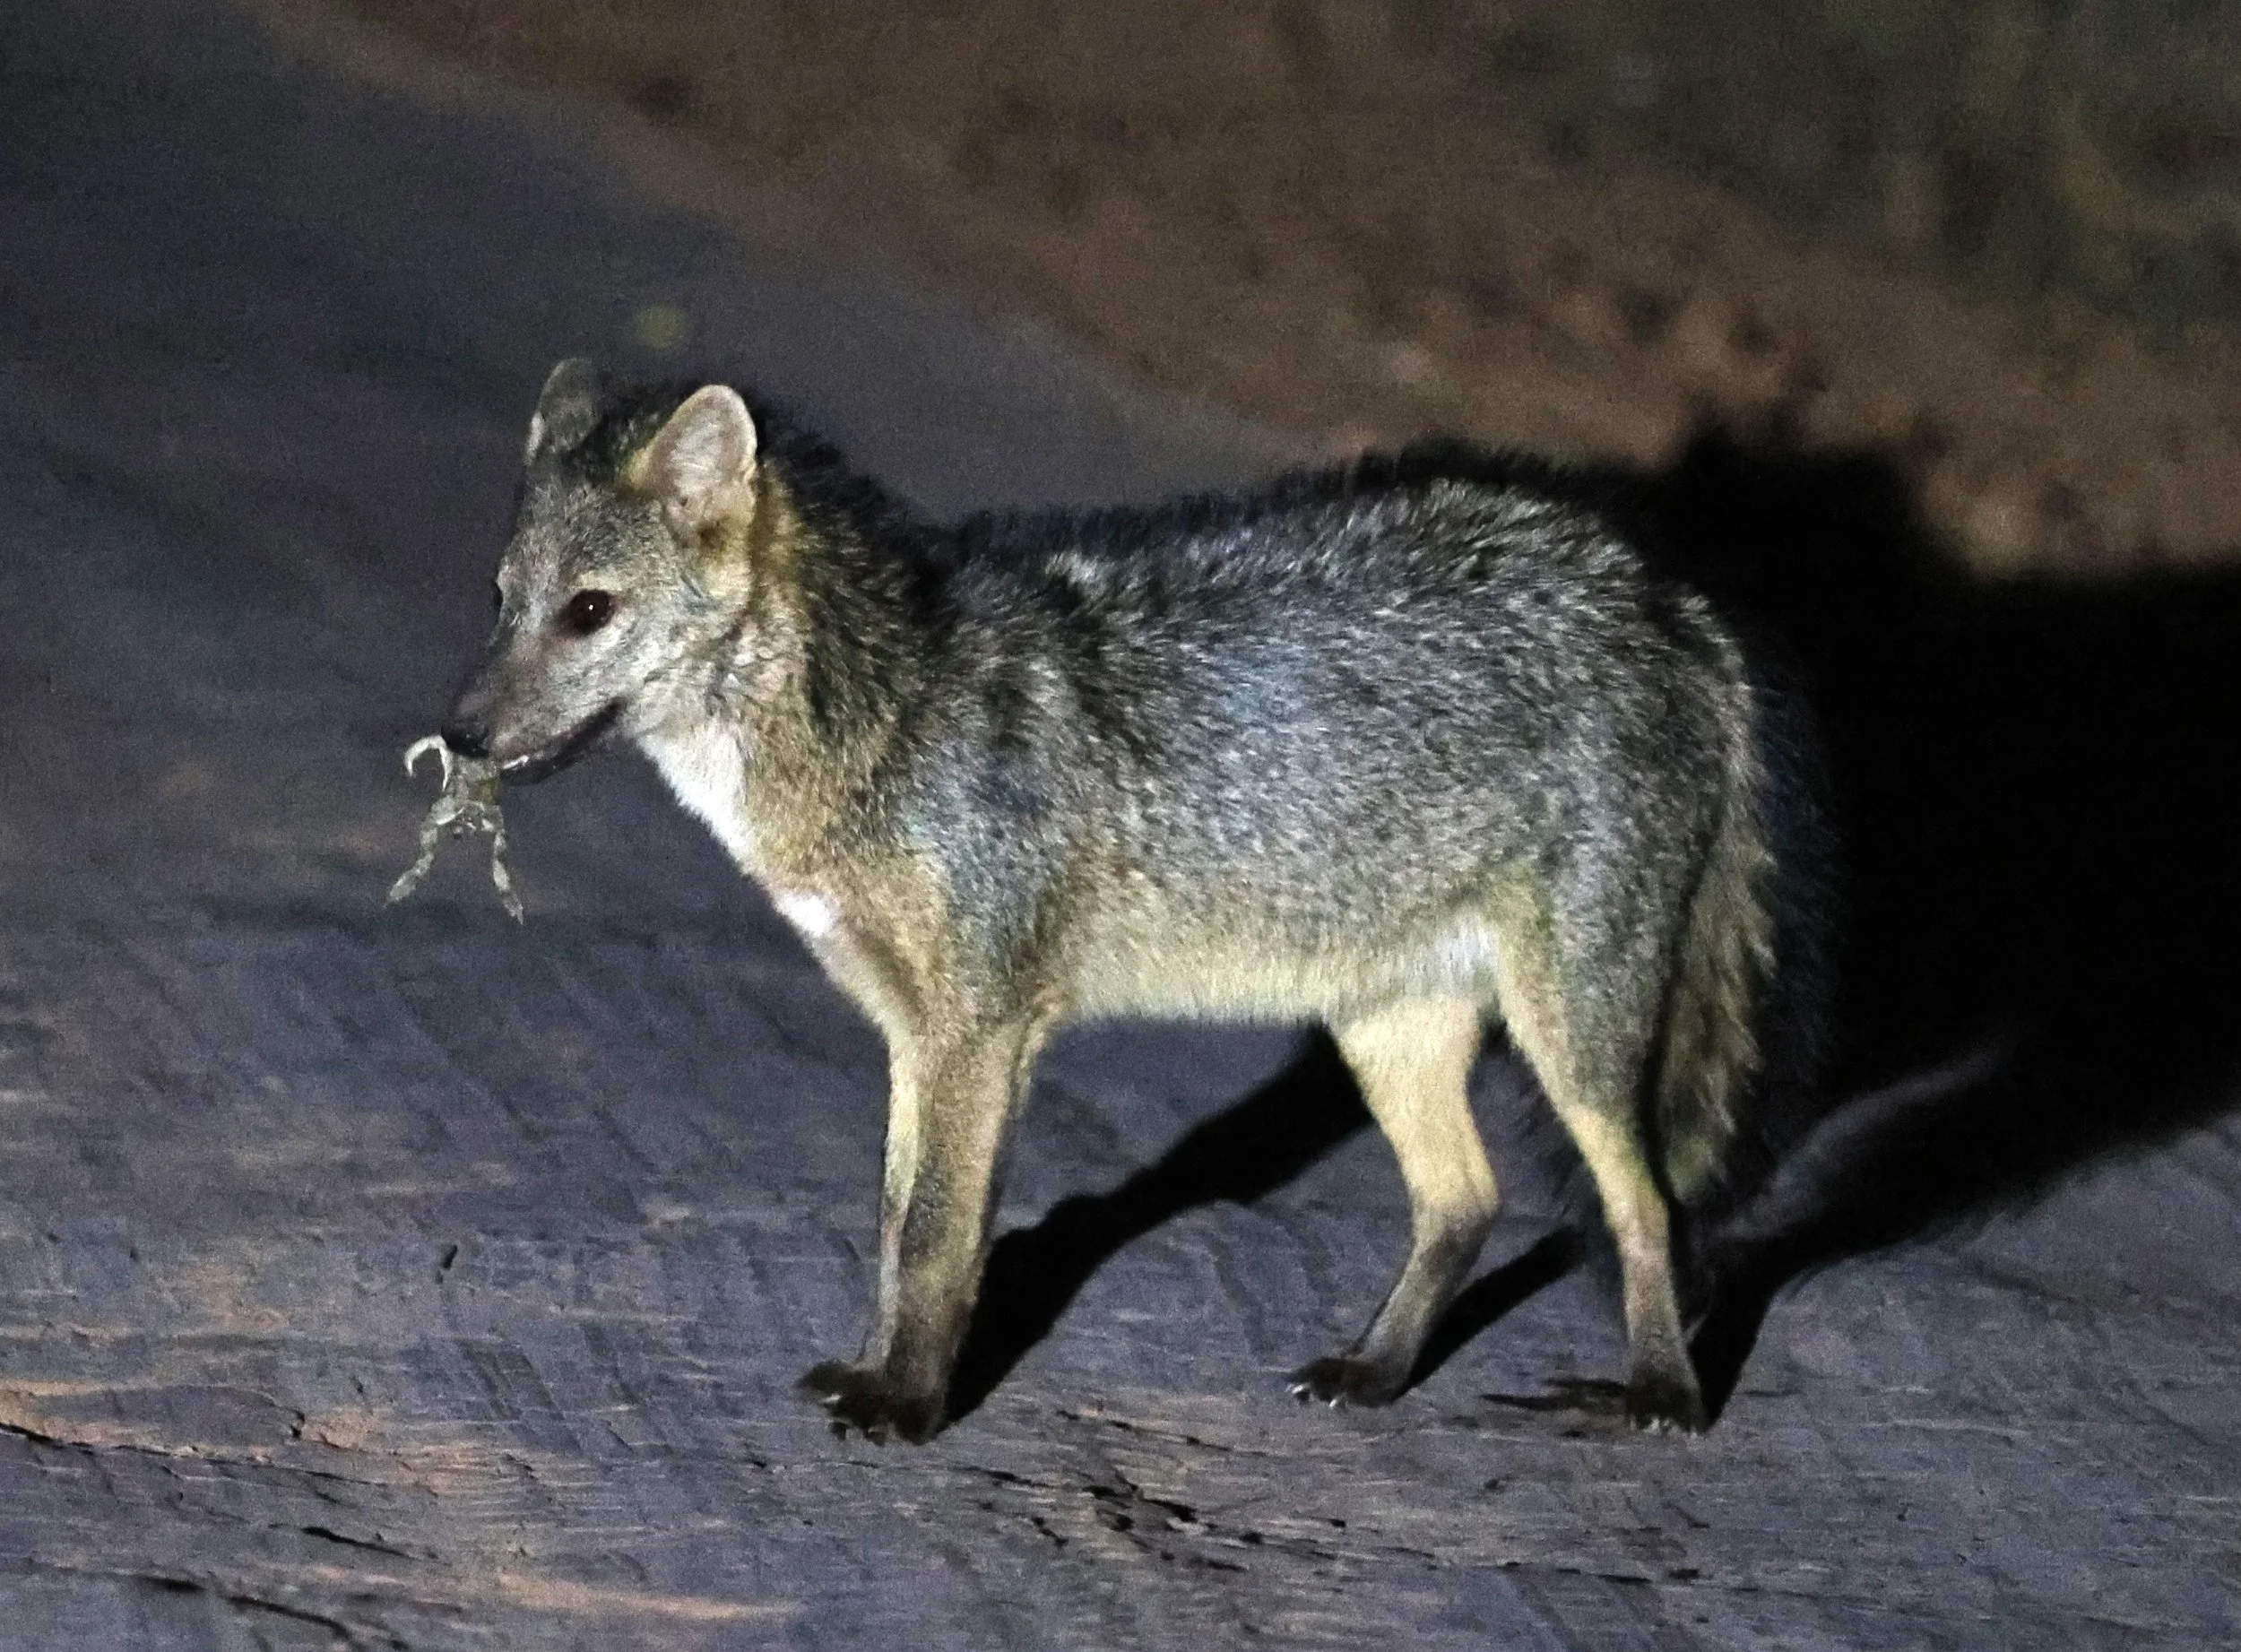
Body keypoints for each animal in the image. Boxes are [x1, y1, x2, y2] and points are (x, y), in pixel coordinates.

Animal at [434, 358, 1830, 1443]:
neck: (883, 718)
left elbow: (936, 1237)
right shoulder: (914, 1035)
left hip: (1571, 1037)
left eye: (589, 612)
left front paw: (907, 1408)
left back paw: (1662, 1396)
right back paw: (1375, 1373)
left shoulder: (982, 1032)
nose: (458, 736)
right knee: (1466, 1201)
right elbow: (894, 1226)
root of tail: (1669, 597)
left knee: (1647, 1206)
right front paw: (882, 1370)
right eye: (500, 600)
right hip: (1385, 1024)